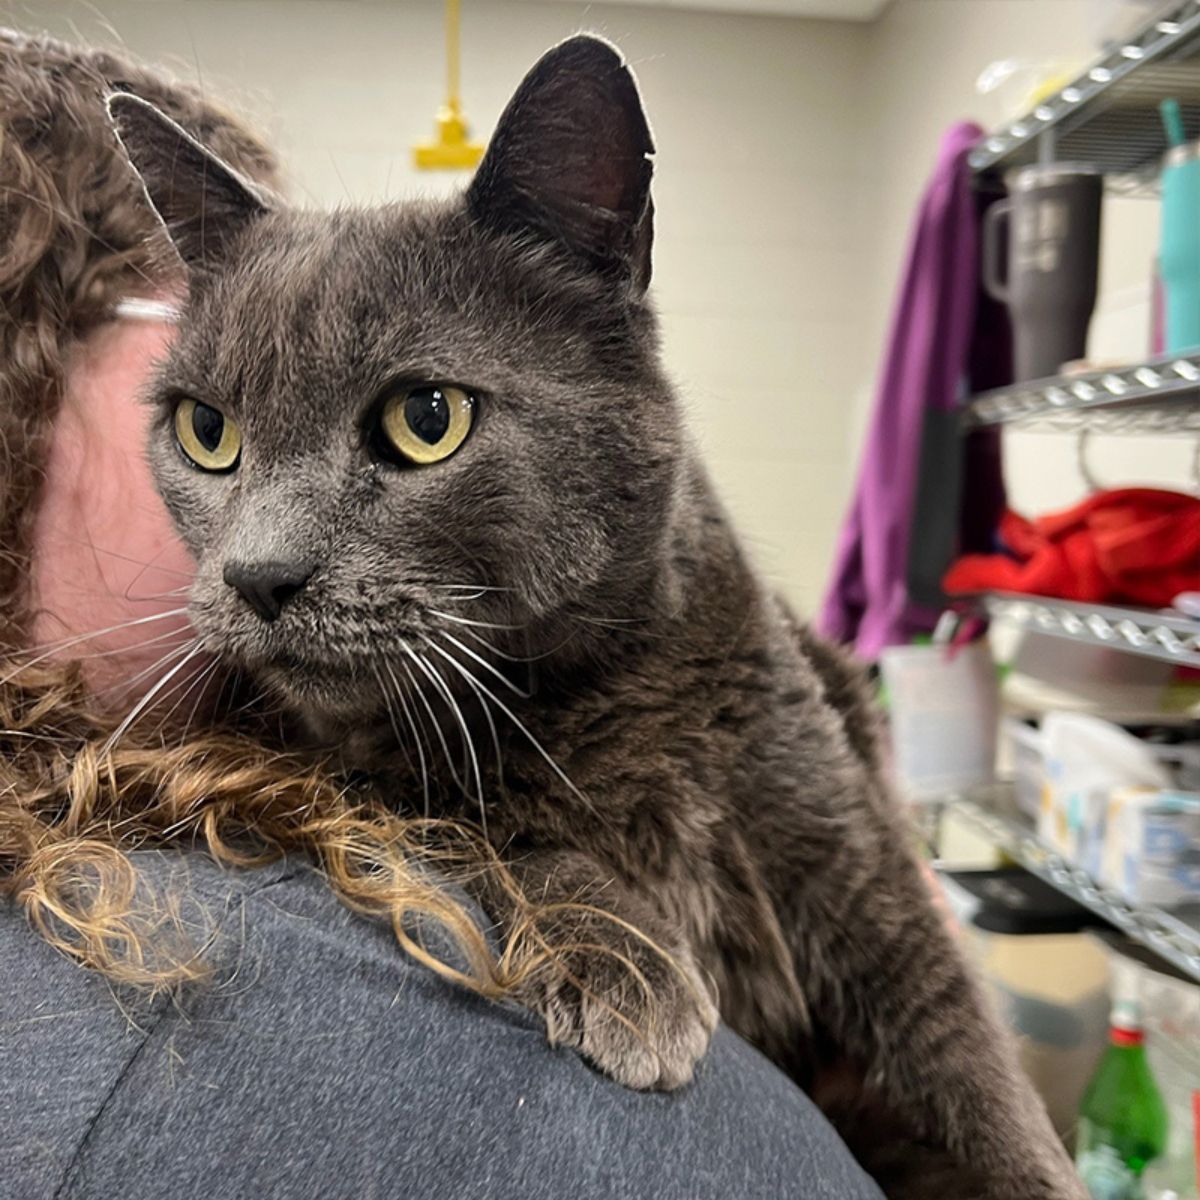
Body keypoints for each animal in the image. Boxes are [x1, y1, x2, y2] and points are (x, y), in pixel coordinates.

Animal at [110, 37, 1089, 1200]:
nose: (260, 574)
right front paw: (632, 961)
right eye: (205, 431)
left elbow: (963, 1053)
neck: (592, 689)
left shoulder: (850, 841)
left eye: (426, 419)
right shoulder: (356, 773)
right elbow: (487, 823)